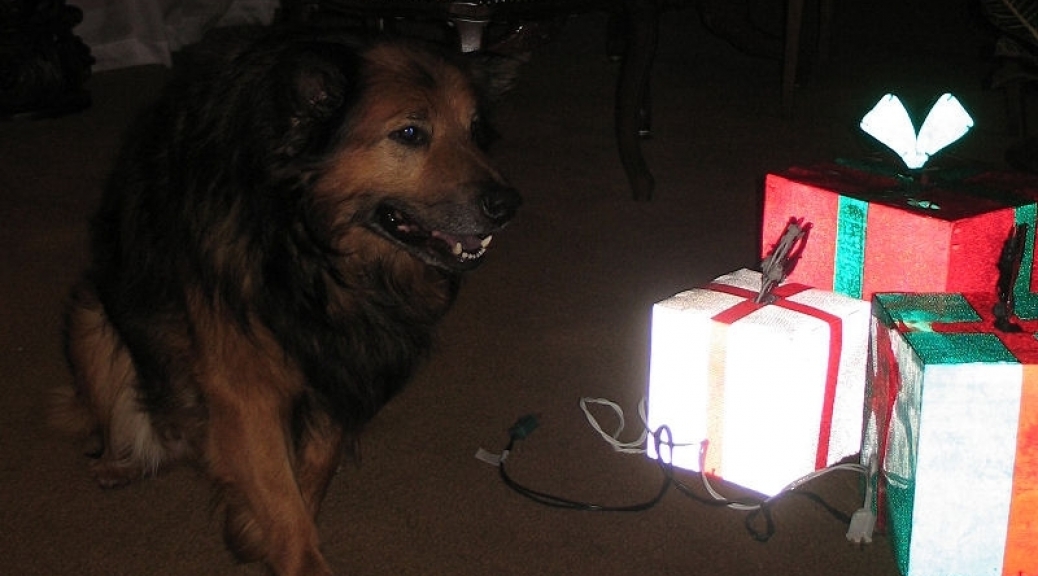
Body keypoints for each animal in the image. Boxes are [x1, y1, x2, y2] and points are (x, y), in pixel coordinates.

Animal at [50, 28, 519, 576]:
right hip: (89, 318)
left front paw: (257, 533)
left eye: (476, 131)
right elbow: (281, 496)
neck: (303, 241)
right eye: (409, 133)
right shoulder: (243, 384)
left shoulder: (342, 361)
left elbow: (311, 472)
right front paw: (287, 548)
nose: (508, 205)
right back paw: (118, 461)